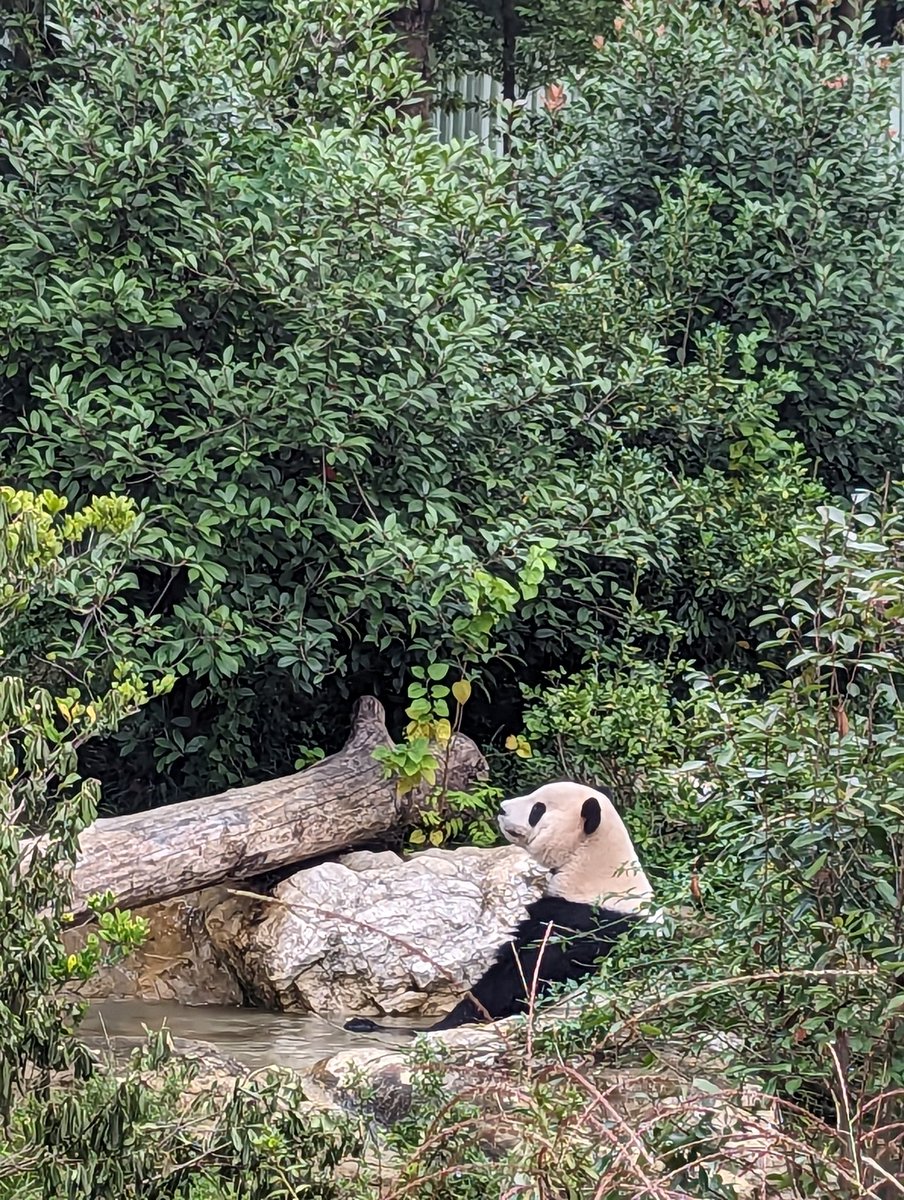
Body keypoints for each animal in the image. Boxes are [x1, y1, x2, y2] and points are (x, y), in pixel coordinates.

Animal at [344, 779, 653, 1035]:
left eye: (538, 809)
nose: (503, 808)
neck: (592, 864)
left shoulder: (579, 922)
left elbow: (521, 975)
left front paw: (450, 1020)